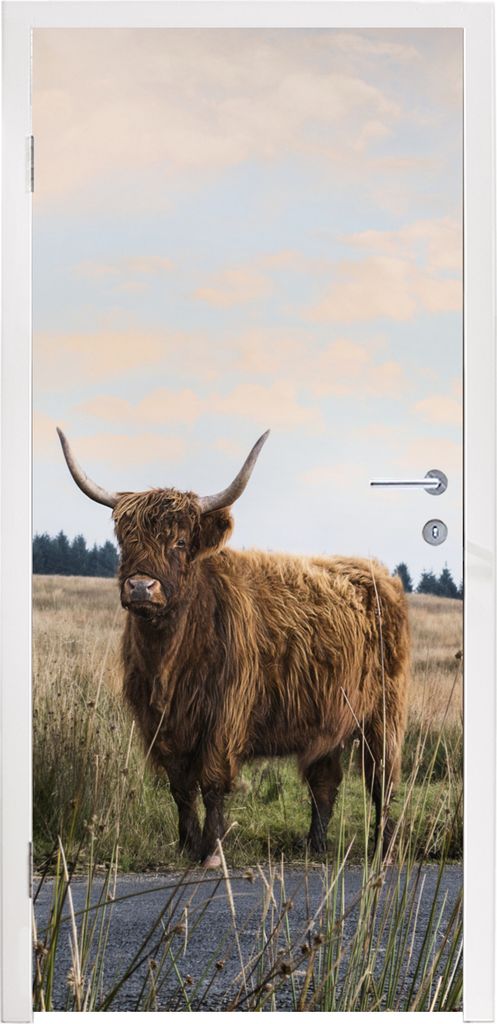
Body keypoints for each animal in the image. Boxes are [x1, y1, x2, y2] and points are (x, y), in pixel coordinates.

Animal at [57, 427, 409, 867]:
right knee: (324, 780)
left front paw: (212, 852)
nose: (140, 587)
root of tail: (376, 572)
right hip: (329, 716)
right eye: (126, 539)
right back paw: (314, 845)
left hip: (384, 713)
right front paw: (186, 845)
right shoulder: (162, 724)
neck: (169, 656)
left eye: (180, 542)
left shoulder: (224, 714)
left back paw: (384, 850)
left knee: (383, 779)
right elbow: (180, 787)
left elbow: (211, 783)